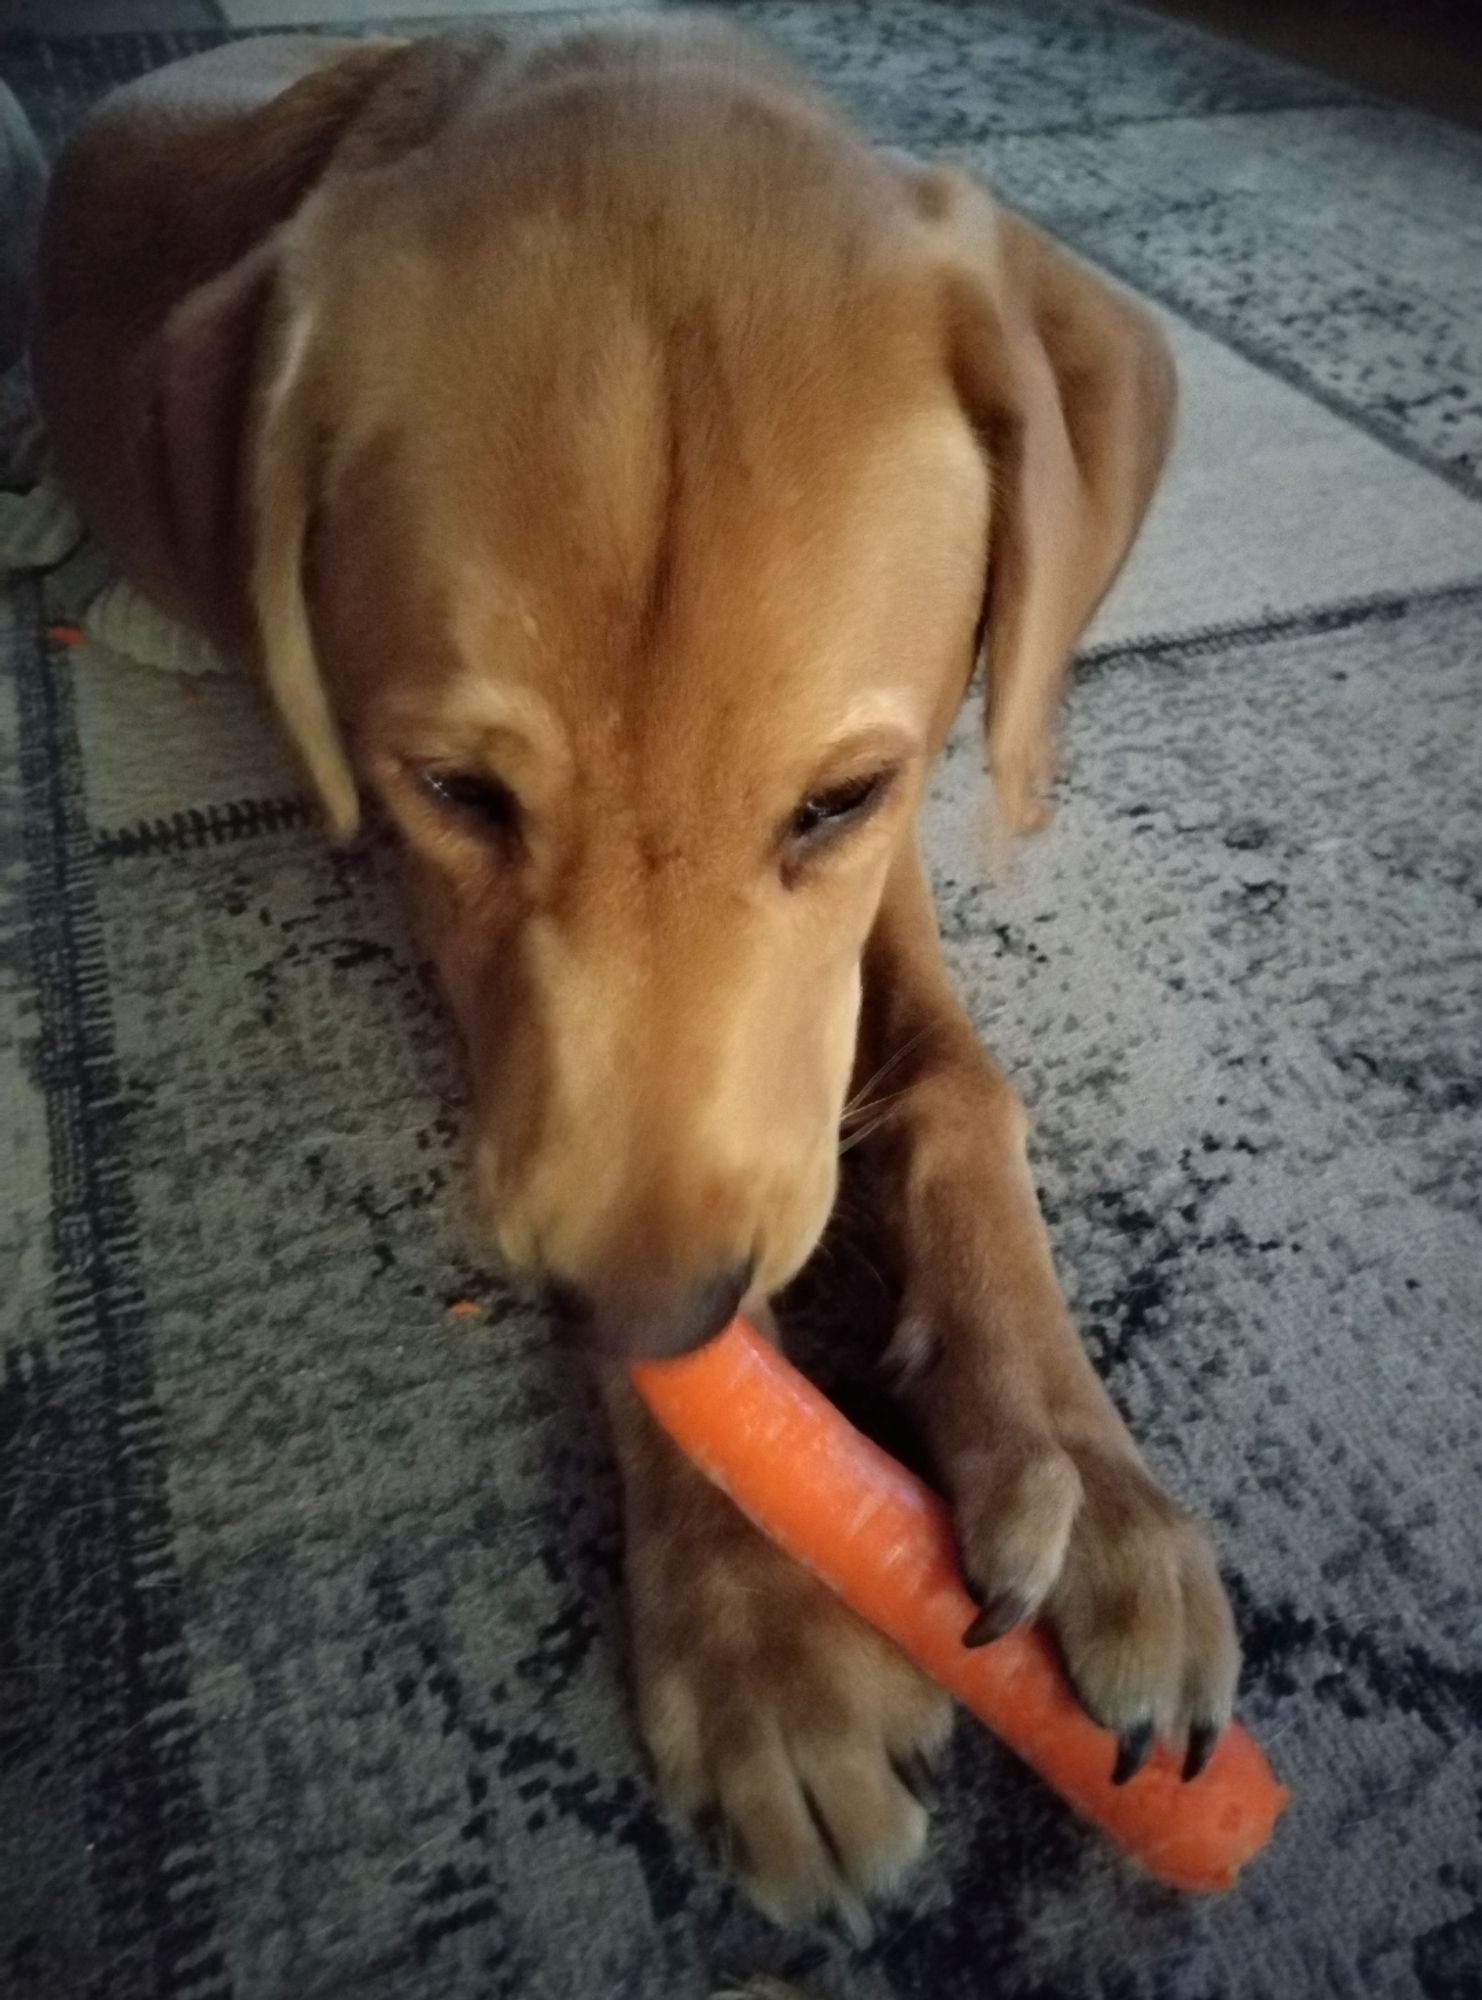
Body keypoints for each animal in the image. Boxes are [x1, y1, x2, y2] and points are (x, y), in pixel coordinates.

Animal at [31, 11, 1240, 1920]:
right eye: (452, 792)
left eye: (837, 799)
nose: (655, 1316)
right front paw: (763, 1631)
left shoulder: (890, 846)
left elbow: (955, 1082)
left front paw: (1080, 1468)